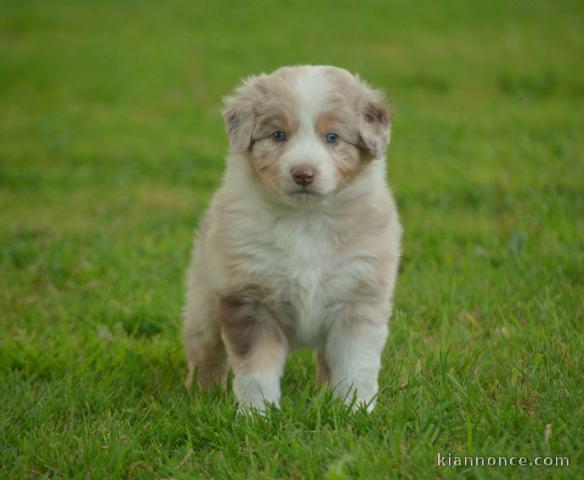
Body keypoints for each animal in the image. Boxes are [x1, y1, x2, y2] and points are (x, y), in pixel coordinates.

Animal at [182, 64, 402, 412]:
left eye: (332, 137)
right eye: (278, 135)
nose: (303, 173)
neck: (306, 220)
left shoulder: (358, 296)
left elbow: (356, 365)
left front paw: (355, 410)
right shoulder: (248, 297)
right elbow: (256, 370)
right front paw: (257, 414)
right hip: (203, 304)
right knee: (206, 353)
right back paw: (203, 395)